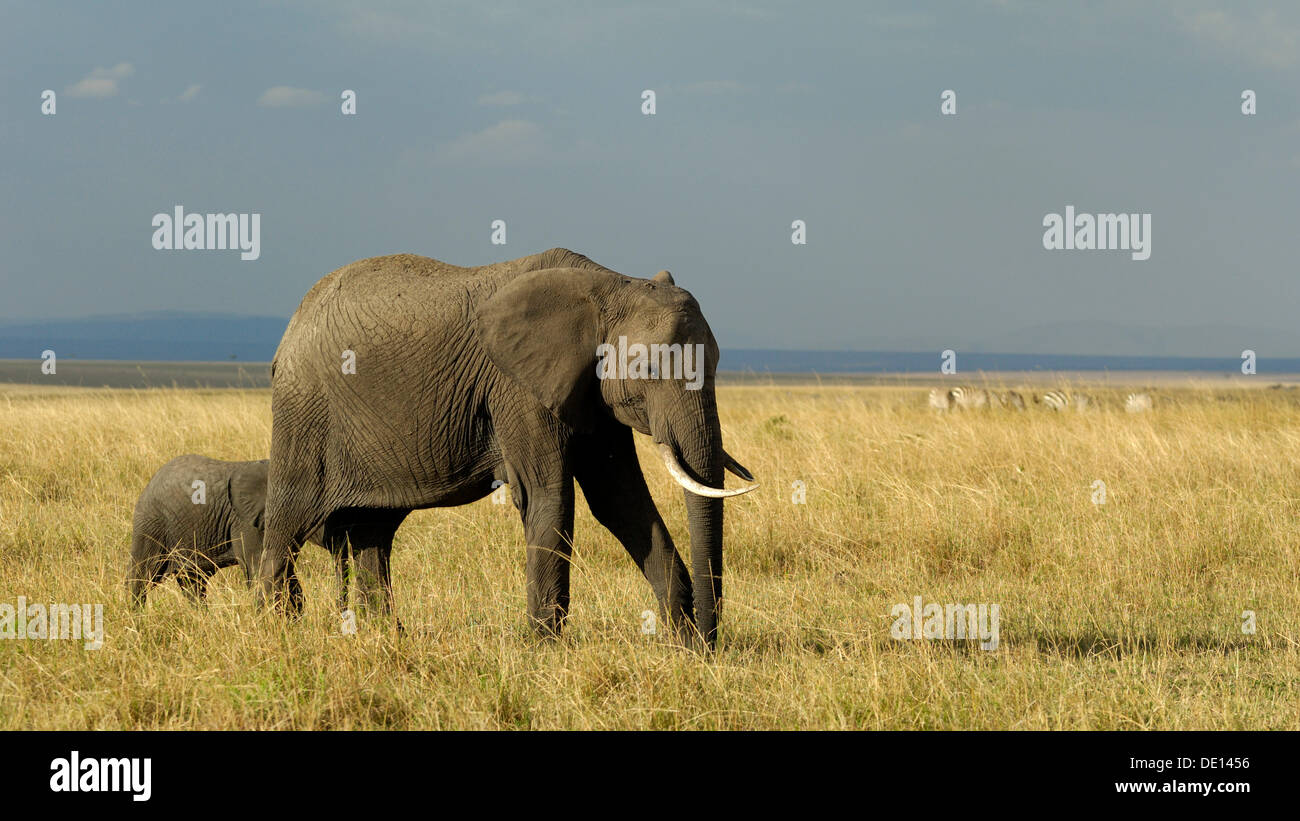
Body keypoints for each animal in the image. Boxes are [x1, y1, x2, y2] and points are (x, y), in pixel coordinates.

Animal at [127, 454, 345, 610]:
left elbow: (286, 571)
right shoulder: (246, 522)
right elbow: (258, 570)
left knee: (192, 583)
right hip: (151, 525)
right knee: (140, 578)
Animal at [258, 246, 759, 644]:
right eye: (651, 369)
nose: (710, 646)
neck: (610, 286)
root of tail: (291, 326)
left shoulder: (590, 393)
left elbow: (621, 502)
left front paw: (681, 645)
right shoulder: (517, 388)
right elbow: (549, 496)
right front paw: (544, 648)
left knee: (372, 531)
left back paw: (386, 635)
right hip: (304, 411)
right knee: (289, 520)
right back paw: (276, 629)